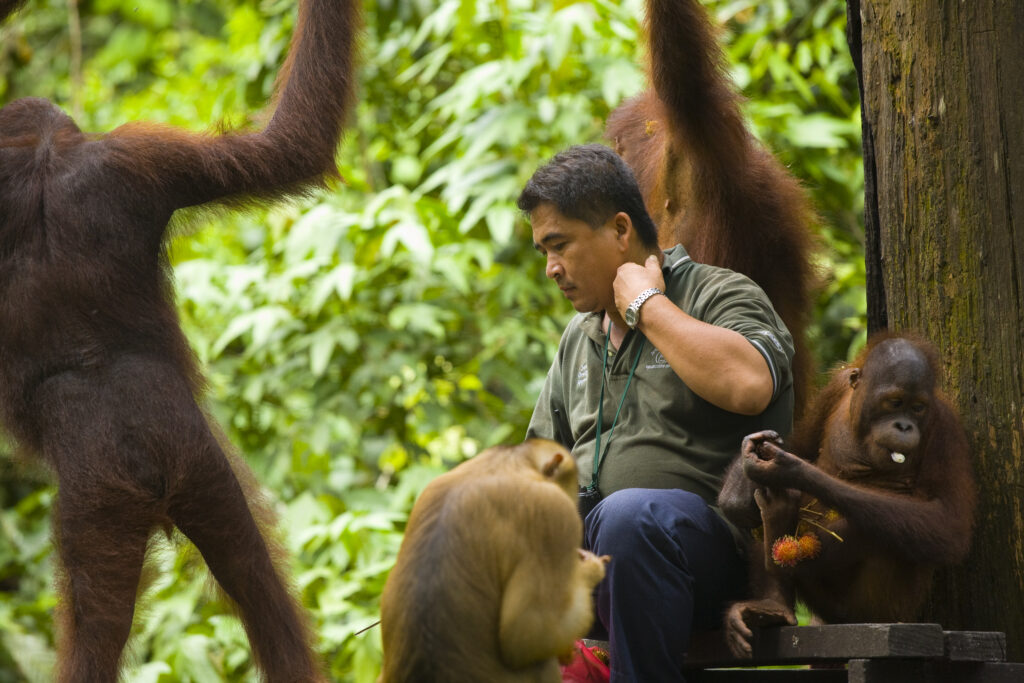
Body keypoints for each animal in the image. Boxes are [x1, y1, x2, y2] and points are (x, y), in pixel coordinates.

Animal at [0, 1, 359, 679]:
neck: (40, 163)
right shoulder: (138, 158)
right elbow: (287, 150)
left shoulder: (132, 153)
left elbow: (283, 151)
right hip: (175, 466)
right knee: (246, 575)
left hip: (125, 482)